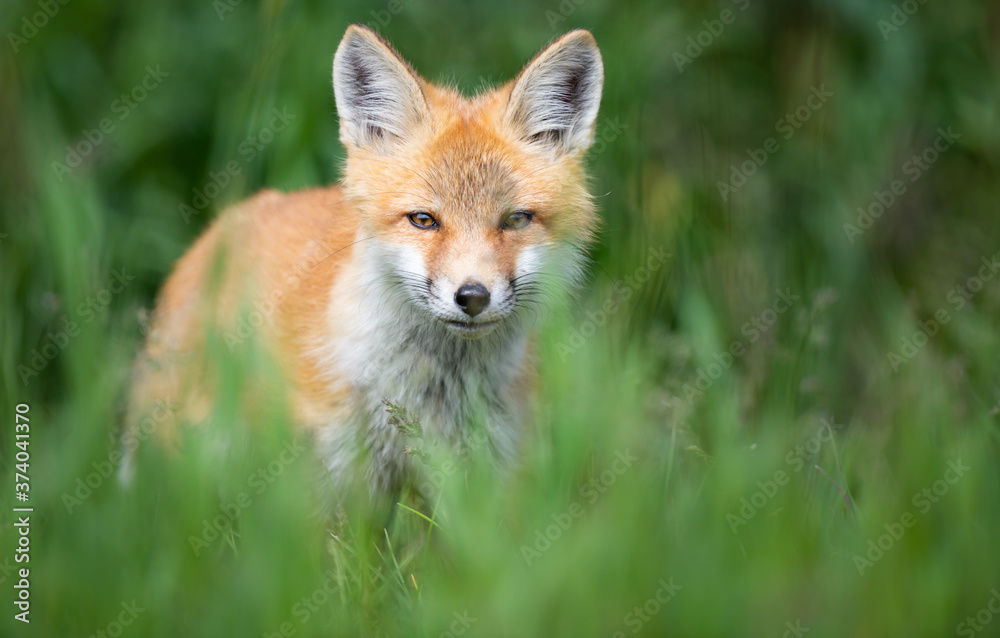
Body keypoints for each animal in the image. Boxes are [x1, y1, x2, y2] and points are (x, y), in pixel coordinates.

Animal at [129, 23, 604, 504]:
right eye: (423, 220)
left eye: (516, 219)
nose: (472, 296)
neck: (436, 393)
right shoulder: (334, 480)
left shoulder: (491, 476)